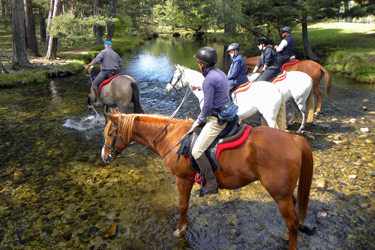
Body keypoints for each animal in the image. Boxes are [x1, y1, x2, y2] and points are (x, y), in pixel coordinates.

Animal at [101, 110, 316, 249]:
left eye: (111, 133)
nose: (104, 156)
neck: (172, 138)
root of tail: (293, 139)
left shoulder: (183, 180)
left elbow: (182, 206)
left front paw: (180, 230)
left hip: (279, 194)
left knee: (293, 221)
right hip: (284, 193)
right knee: (293, 211)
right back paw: (284, 234)